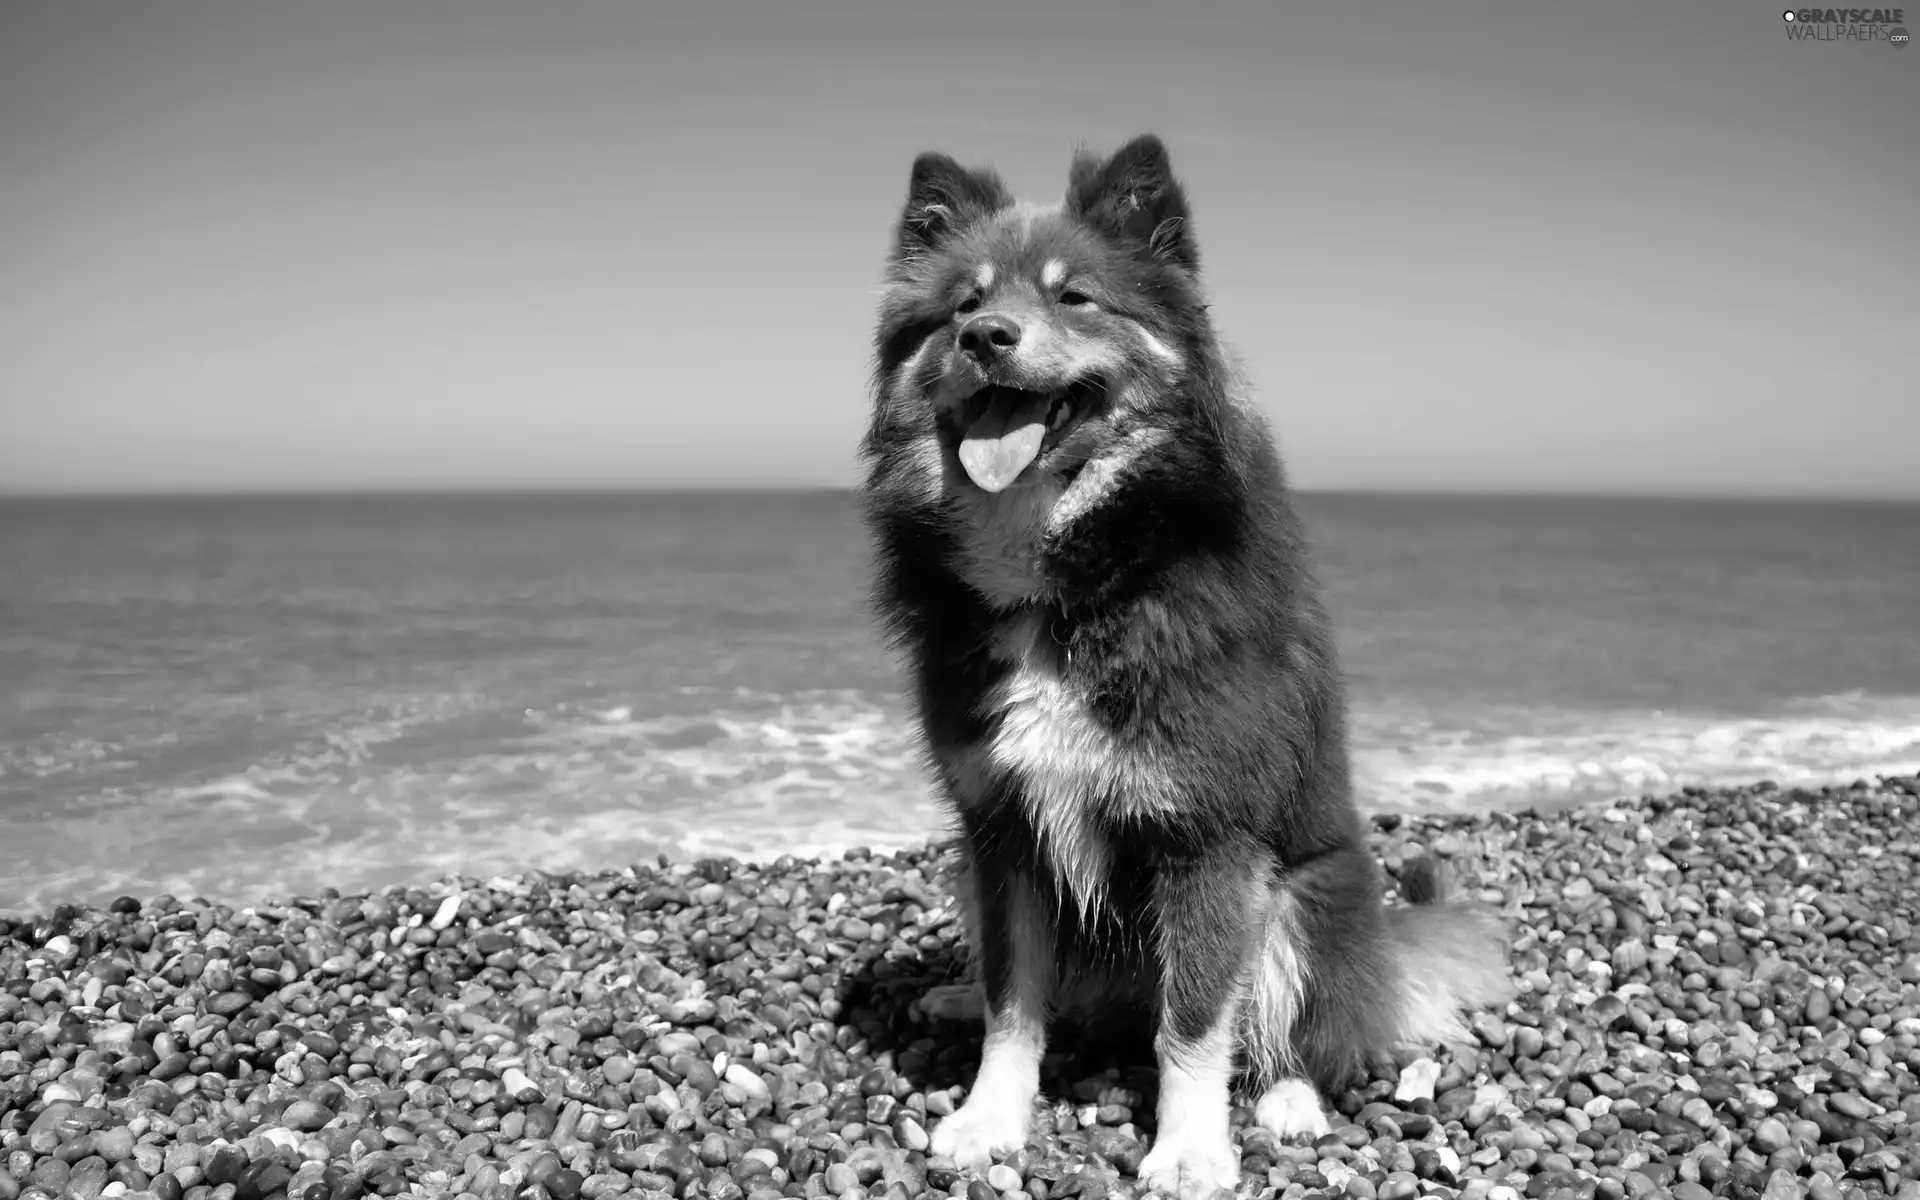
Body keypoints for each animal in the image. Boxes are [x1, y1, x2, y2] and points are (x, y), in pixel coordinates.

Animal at [860, 135, 1512, 1190]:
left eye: (1075, 298)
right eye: (963, 304)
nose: (986, 338)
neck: (1069, 583)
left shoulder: (1206, 839)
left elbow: (1197, 1022)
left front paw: (1190, 1150)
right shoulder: (1000, 828)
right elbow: (1014, 1000)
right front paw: (987, 1118)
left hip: (1304, 901)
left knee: (1310, 1035)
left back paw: (1291, 1103)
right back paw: (956, 994)